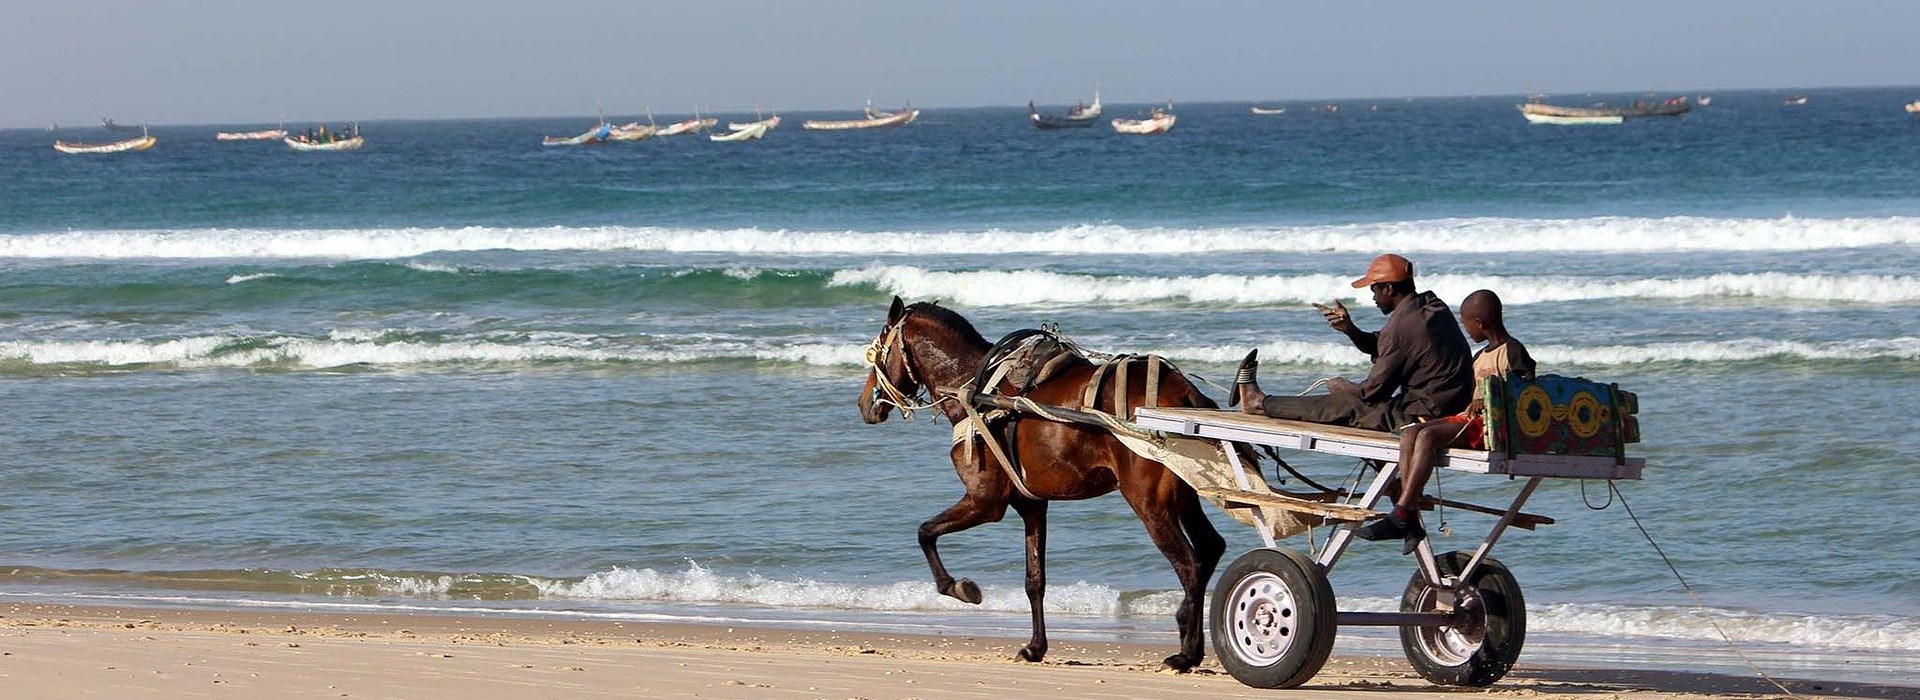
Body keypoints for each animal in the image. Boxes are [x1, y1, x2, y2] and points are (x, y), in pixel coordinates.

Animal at [860, 295, 1228, 671]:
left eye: (876, 353)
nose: (864, 403)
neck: (976, 387)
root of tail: (1185, 395)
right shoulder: (1032, 505)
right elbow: (1034, 580)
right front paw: (1035, 646)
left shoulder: (984, 502)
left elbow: (925, 532)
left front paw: (958, 587)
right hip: (1183, 495)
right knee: (1209, 548)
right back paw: (1188, 630)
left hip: (1149, 503)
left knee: (1189, 565)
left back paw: (1187, 651)